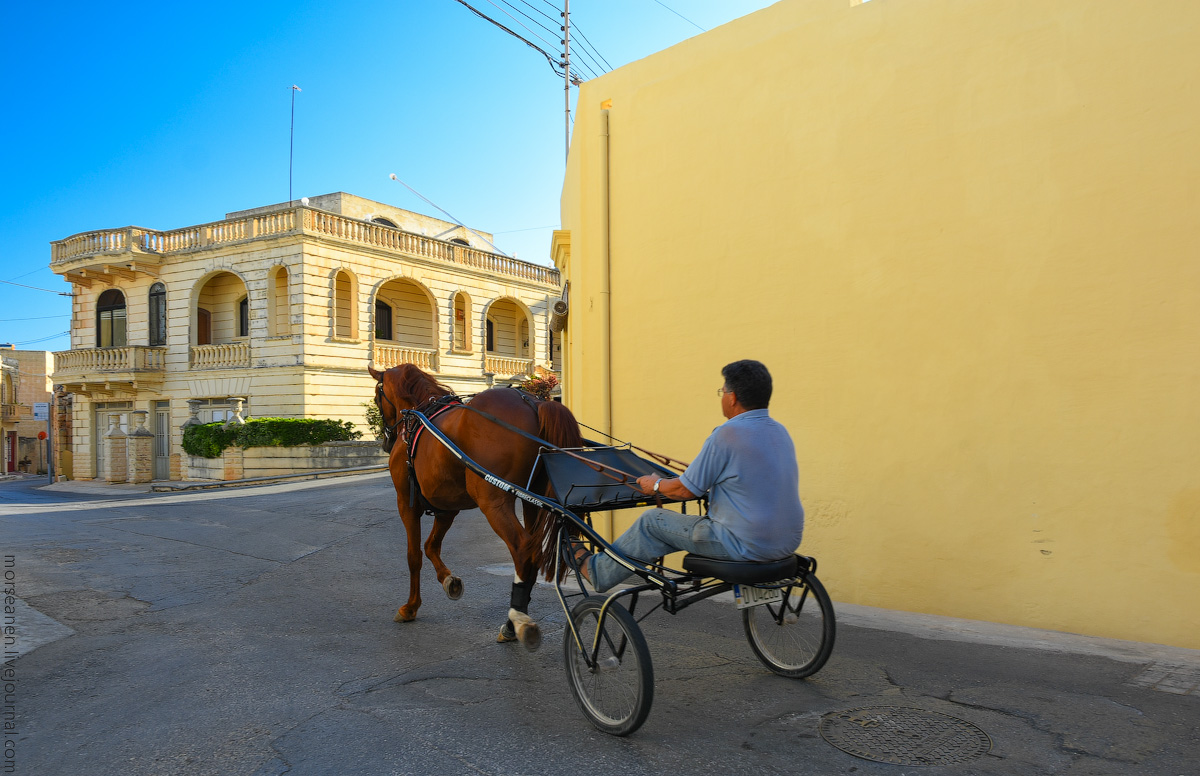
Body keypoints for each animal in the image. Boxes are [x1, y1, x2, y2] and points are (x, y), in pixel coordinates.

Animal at [369, 364, 585, 647]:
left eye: (377, 398)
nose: (386, 440)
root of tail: (535, 403)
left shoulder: (407, 504)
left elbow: (413, 555)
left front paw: (410, 607)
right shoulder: (447, 507)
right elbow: (431, 546)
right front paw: (448, 580)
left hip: (494, 501)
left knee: (522, 549)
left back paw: (518, 620)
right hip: (533, 501)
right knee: (532, 550)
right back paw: (512, 620)